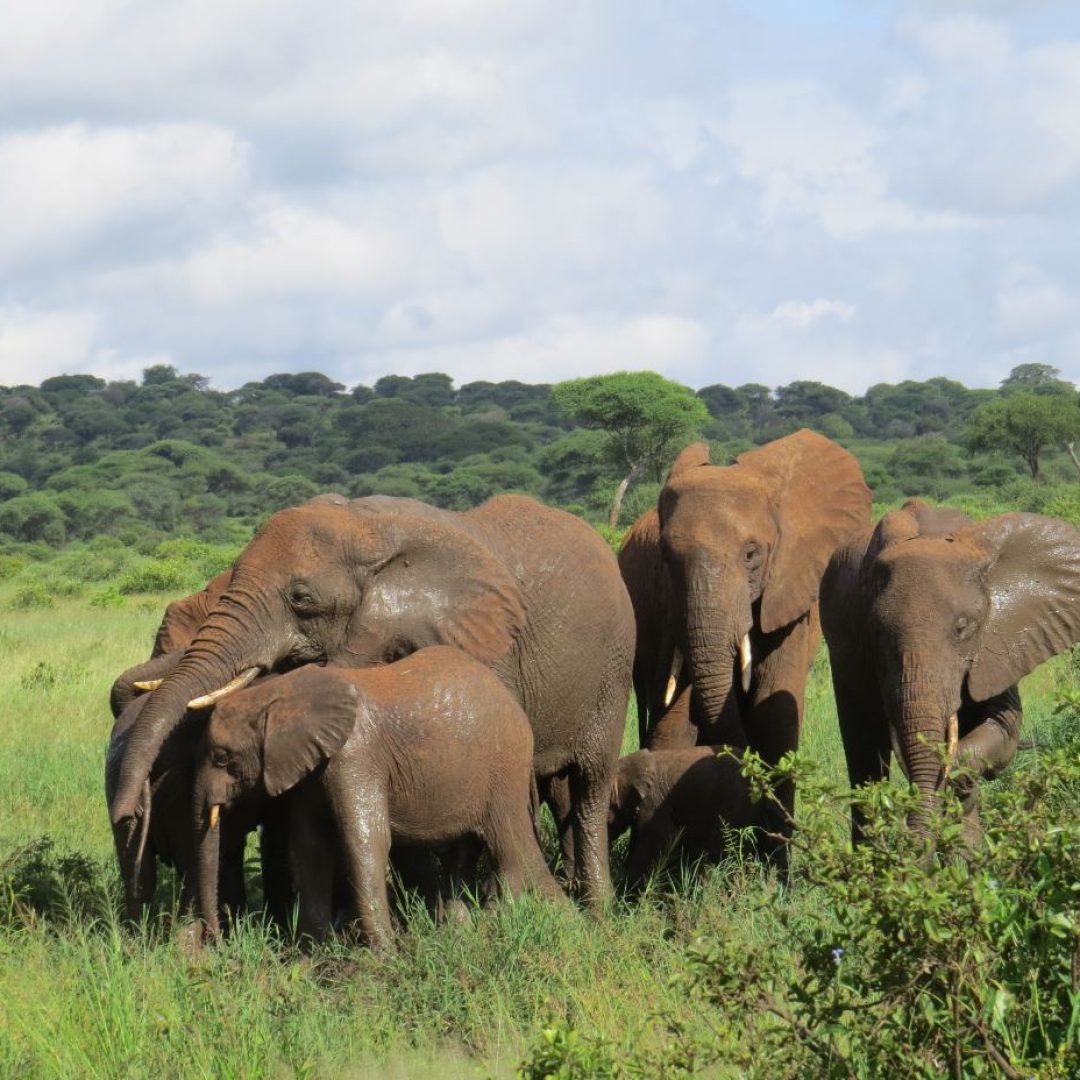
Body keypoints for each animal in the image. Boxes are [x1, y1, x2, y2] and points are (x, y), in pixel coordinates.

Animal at [110, 492, 635, 907]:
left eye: (301, 598)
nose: (129, 815)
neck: (368, 528)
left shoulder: (488, 645)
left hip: (614, 669)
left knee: (589, 786)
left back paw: (597, 907)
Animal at [195, 647, 566, 948]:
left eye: (222, 758)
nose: (219, 941)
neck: (283, 692)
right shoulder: (312, 768)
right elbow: (309, 845)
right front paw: (311, 955)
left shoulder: (355, 755)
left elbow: (364, 840)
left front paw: (384, 955)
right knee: (466, 853)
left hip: (505, 769)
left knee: (510, 845)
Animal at [619, 430, 871, 847]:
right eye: (666, 559)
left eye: (751, 554)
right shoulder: (669, 606)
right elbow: (675, 716)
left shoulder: (789, 590)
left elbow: (775, 716)